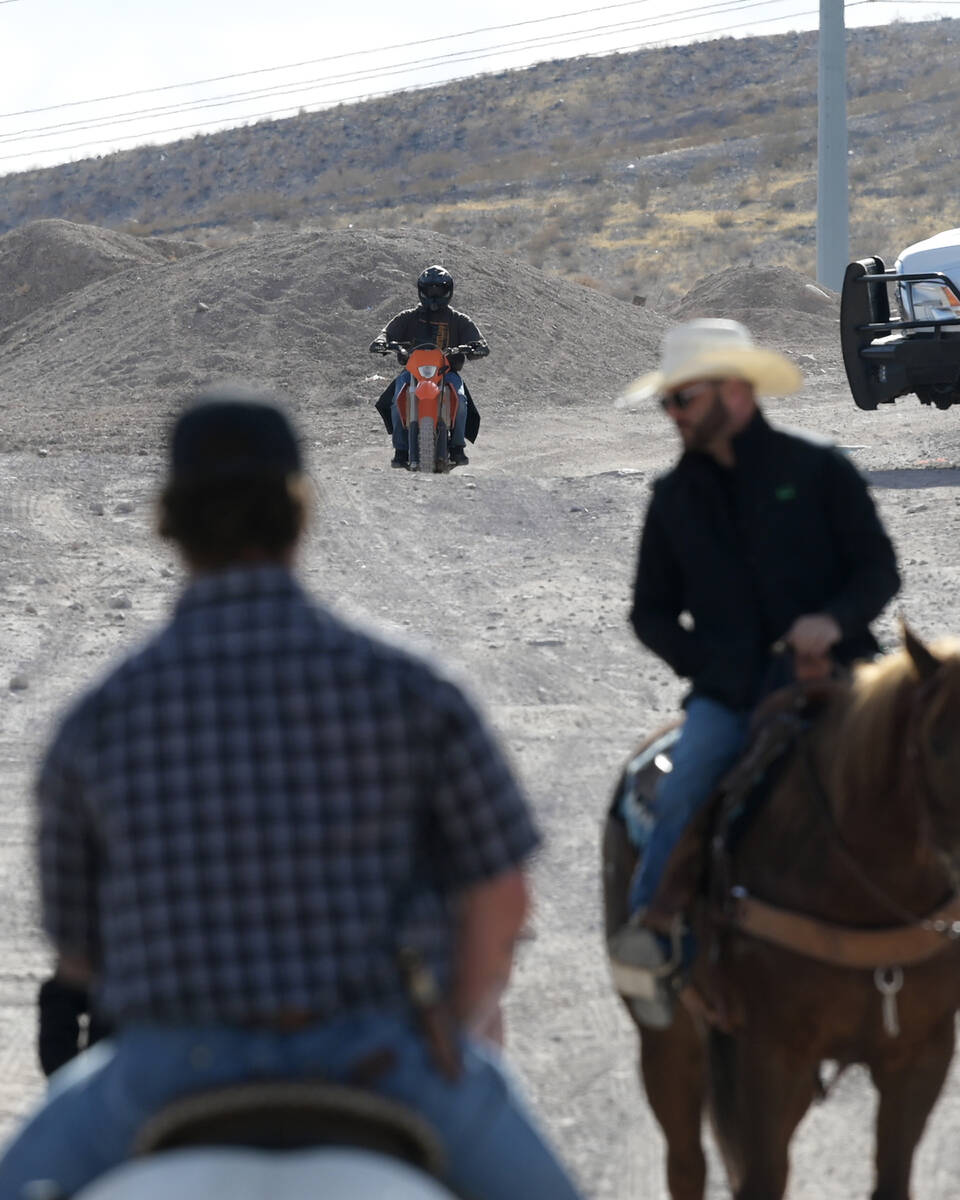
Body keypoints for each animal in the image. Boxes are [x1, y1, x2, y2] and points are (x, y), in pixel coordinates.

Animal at [604, 628, 960, 1200]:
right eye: (936, 743)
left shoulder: (920, 1055)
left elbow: (892, 1177)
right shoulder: (770, 1058)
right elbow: (761, 1178)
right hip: (668, 1037)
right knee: (687, 1162)